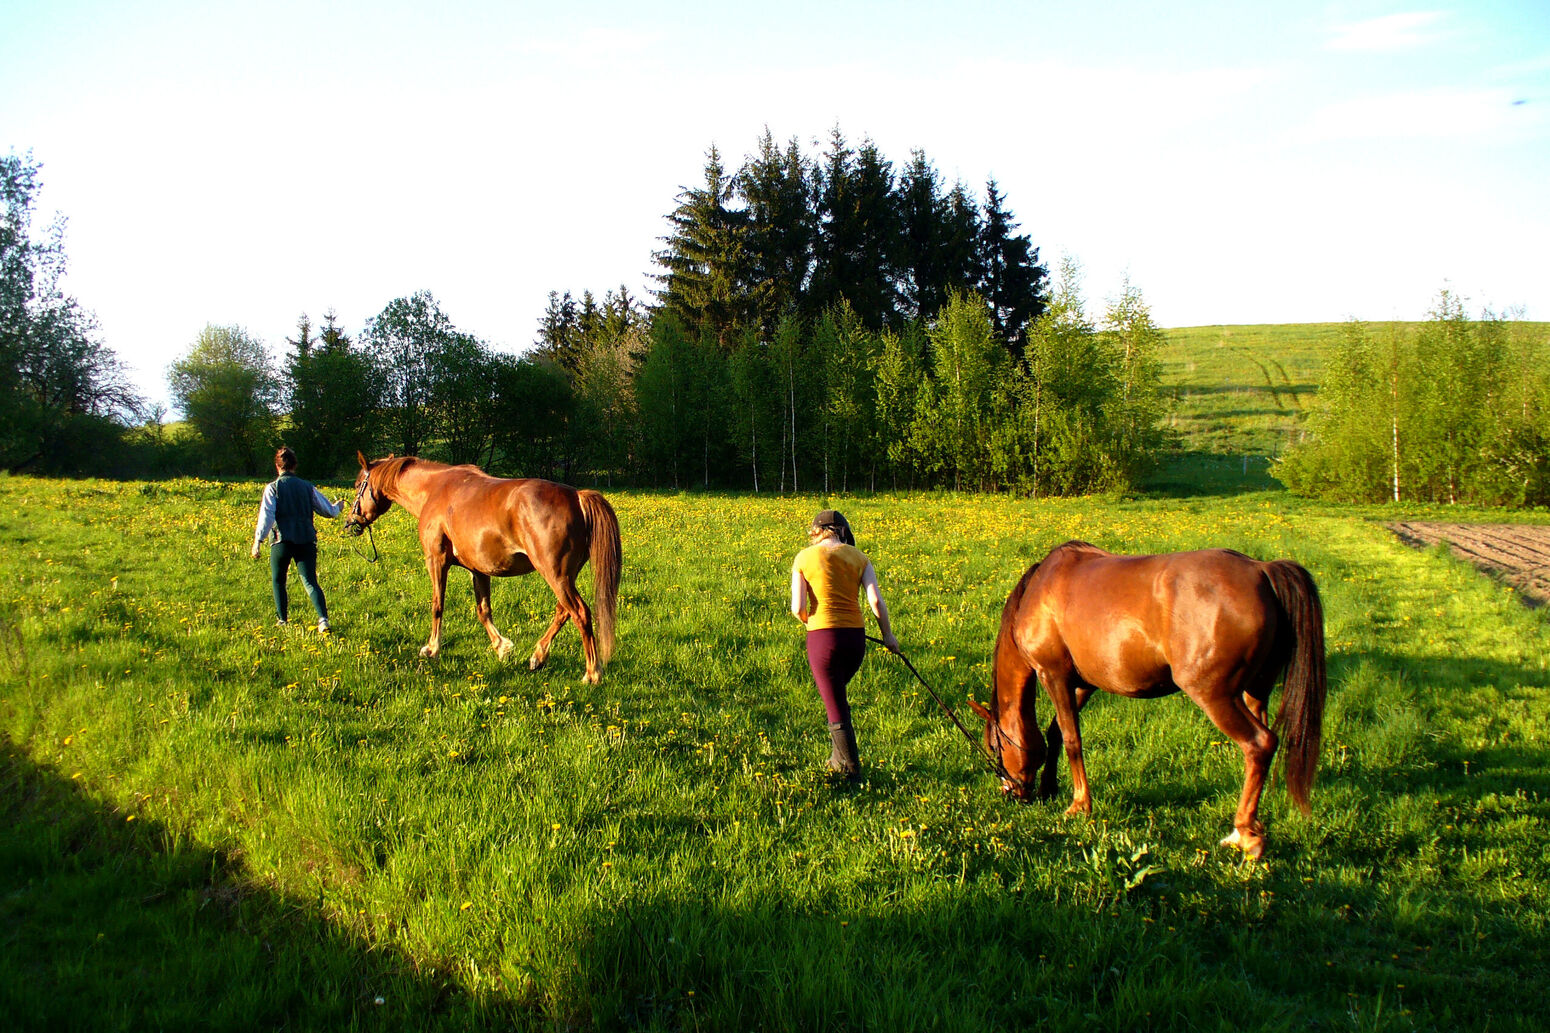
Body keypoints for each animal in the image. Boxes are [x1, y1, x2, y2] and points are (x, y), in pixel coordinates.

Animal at [347, 452, 623, 682]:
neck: (434, 490)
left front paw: (432, 648)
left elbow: (437, 605)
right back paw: (538, 656)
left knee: (580, 613)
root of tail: (577, 497)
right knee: (563, 611)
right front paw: (502, 647)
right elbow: (483, 611)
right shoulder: (478, 570)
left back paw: (592, 673)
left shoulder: (436, 560)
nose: (351, 522)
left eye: (358, 485)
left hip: (556, 575)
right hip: (565, 577)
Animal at [961, 539, 1326, 849]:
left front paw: (1079, 805)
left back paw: (1244, 834)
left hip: (1215, 695)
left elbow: (1072, 741)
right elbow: (1056, 734)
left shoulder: (1053, 675)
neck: (1040, 590)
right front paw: (1050, 788)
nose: (1011, 793)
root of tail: (1262, 570)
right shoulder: (1082, 684)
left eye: (994, 746)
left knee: (1259, 744)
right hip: (1255, 692)